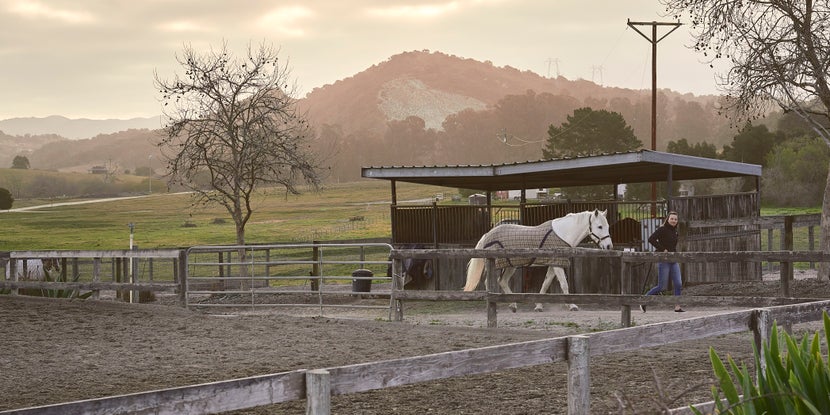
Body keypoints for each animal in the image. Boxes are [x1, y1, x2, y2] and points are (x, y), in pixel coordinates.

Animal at [464, 211, 616, 312]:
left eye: (607, 226)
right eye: (600, 226)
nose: (609, 246)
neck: (563, 234)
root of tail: (487, 234)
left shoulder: (554, 264)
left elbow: (545, 283)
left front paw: (538, 305)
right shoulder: (558, 264)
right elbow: (564, 284)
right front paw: (572, 305)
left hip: (510, 265)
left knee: (502, 281)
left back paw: (513, 305)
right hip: (496, 264)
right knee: (489, 282)